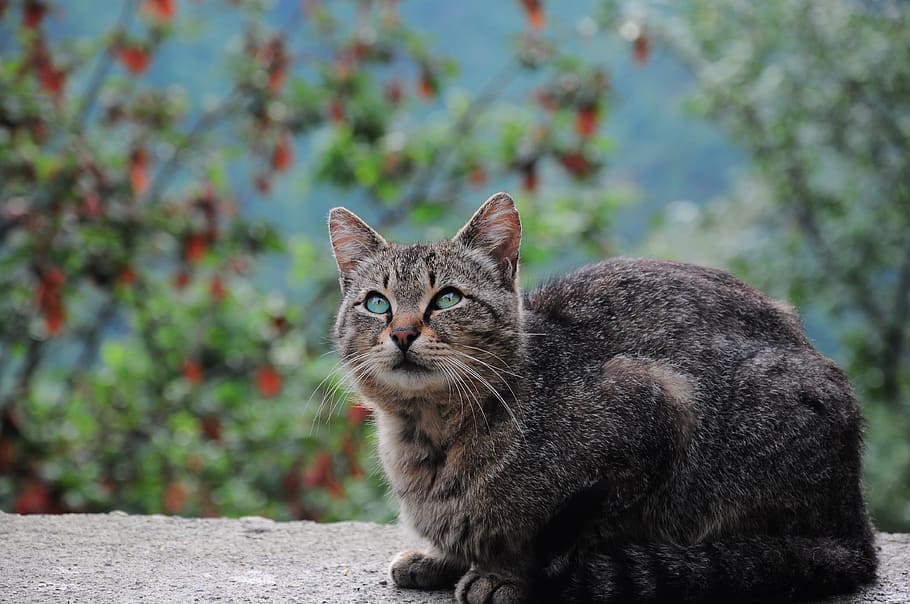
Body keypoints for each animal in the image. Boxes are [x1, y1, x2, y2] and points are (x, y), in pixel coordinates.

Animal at [326, 193, 876, 604]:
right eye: (377, 303)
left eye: (447, 299)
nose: (401, 332)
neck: (428, 438)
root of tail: (857, 526)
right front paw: (442, 558)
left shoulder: (653, 411)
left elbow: (566, 533)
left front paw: (505, 574)